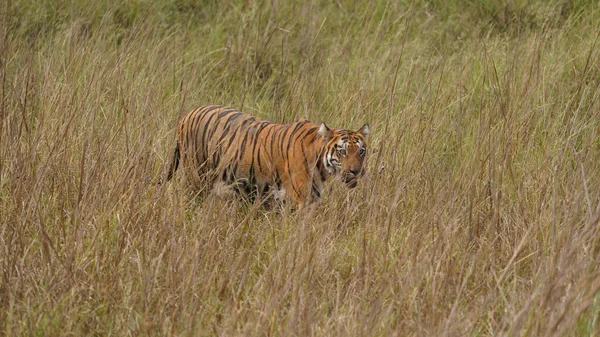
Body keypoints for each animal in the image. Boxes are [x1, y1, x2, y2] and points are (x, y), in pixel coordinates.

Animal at [165, 104, 370, 205]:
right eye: (342, 152)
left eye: (361, 151)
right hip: (197, 177)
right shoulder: (301, 200)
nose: (356, 171)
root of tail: (185, 116)